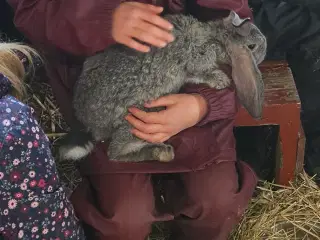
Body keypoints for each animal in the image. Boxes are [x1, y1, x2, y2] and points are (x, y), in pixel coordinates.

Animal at [60, 10, 268, 162]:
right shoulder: (196, 60)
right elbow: (199, 73)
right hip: (141, 118)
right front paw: (221, 80)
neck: (218, 36)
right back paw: (162, 153)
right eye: (253, 46)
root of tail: (89, 124)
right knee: (114, 154)